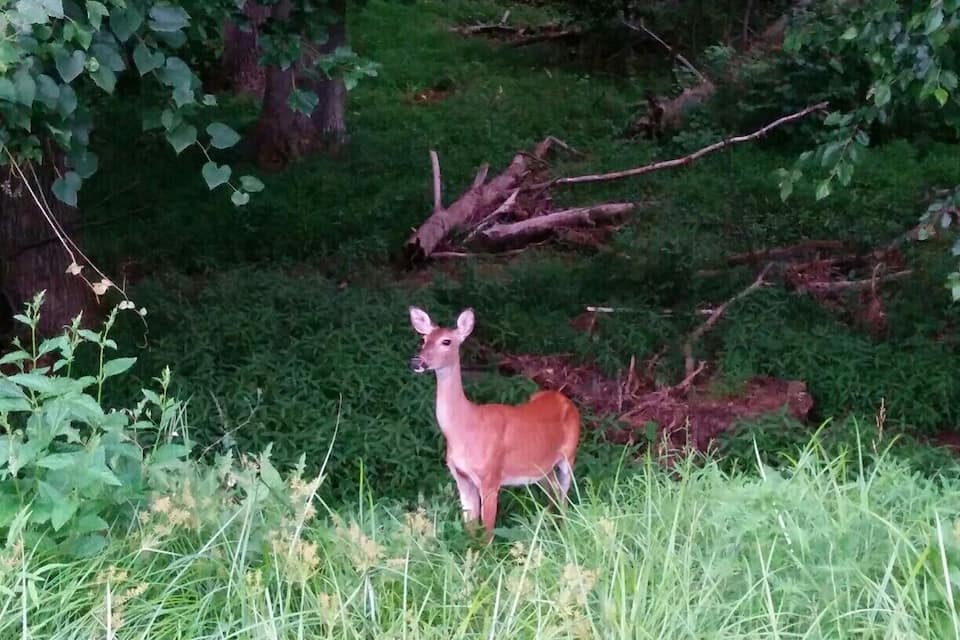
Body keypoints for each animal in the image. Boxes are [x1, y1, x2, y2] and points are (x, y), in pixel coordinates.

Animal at [408, 306, 581, 542]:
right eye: (424, 339)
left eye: (446, 341)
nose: (417, 362)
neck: (465, 426)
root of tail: (565, 399)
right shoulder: (461, 477)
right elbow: (470, 529)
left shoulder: (490, 477)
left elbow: (487, 534)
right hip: (542, 468)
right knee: (554, 493)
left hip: (569, 456)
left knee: (564, 497)